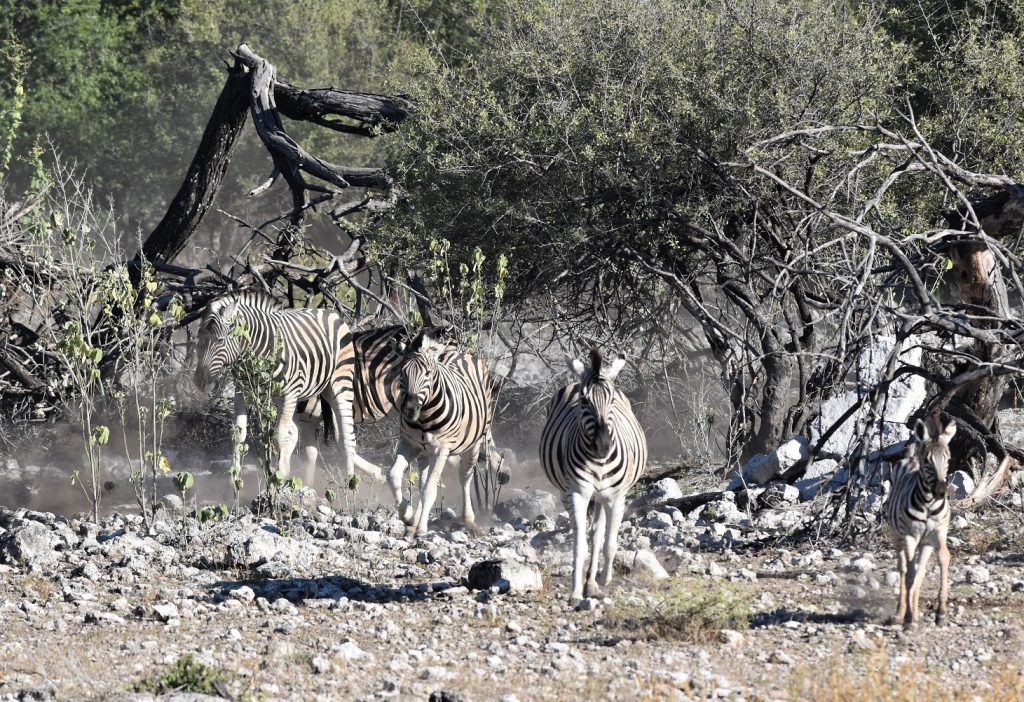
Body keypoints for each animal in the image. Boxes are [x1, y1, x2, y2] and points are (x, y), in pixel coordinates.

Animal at [192, 290, 385, 483]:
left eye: (220, 341)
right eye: (199, 340)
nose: (199, 381)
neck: (258, 351)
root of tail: (328, 312)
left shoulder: (289, 393)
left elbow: (280, 435)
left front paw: (279, 476)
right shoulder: (242, 391)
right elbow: (239, 433)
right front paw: (235, 479)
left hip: (339, 383)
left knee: (346, 438)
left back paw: (351, 482)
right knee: (300, 432)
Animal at [385, 331, 495, 540]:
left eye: (428, 373)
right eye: (402, 373)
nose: (410, 410)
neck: (424, 418)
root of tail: (458, 351)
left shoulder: (441, 449)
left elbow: (430, 489)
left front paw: (421, 528)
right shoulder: (409, 444)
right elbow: (393, 476)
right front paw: (408, 516)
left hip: (475, 442)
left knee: (465, 476)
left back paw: (469, 520)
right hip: (424, 452)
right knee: (422, 480)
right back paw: (415, 520)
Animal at [540, 349, 643, 605]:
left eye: (612, 400)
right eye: (585, 401)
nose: (602, 446)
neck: (598, 463)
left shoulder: (616, 498)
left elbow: (609, 543)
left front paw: (604, 579)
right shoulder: (577, 493)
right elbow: (580, 546)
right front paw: (576, 592)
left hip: (602, 497)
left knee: (598, 534)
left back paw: (593, 582)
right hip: (571, 493)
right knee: (587, 533)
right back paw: (587, 583)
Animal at [880, 415, 958, 630]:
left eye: (948, 459)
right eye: (927, 461)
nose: (941, 491)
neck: (929, 504)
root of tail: (911, 457)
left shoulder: (938, 533)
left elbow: (944, 558)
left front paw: (940, 613)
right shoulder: (909, 536)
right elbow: (909, 575)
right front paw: (906, 616)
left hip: (925, 544)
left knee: (920, 571)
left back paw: (914, 614)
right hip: (898, 537)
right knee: (904, 569)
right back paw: (901, 614)